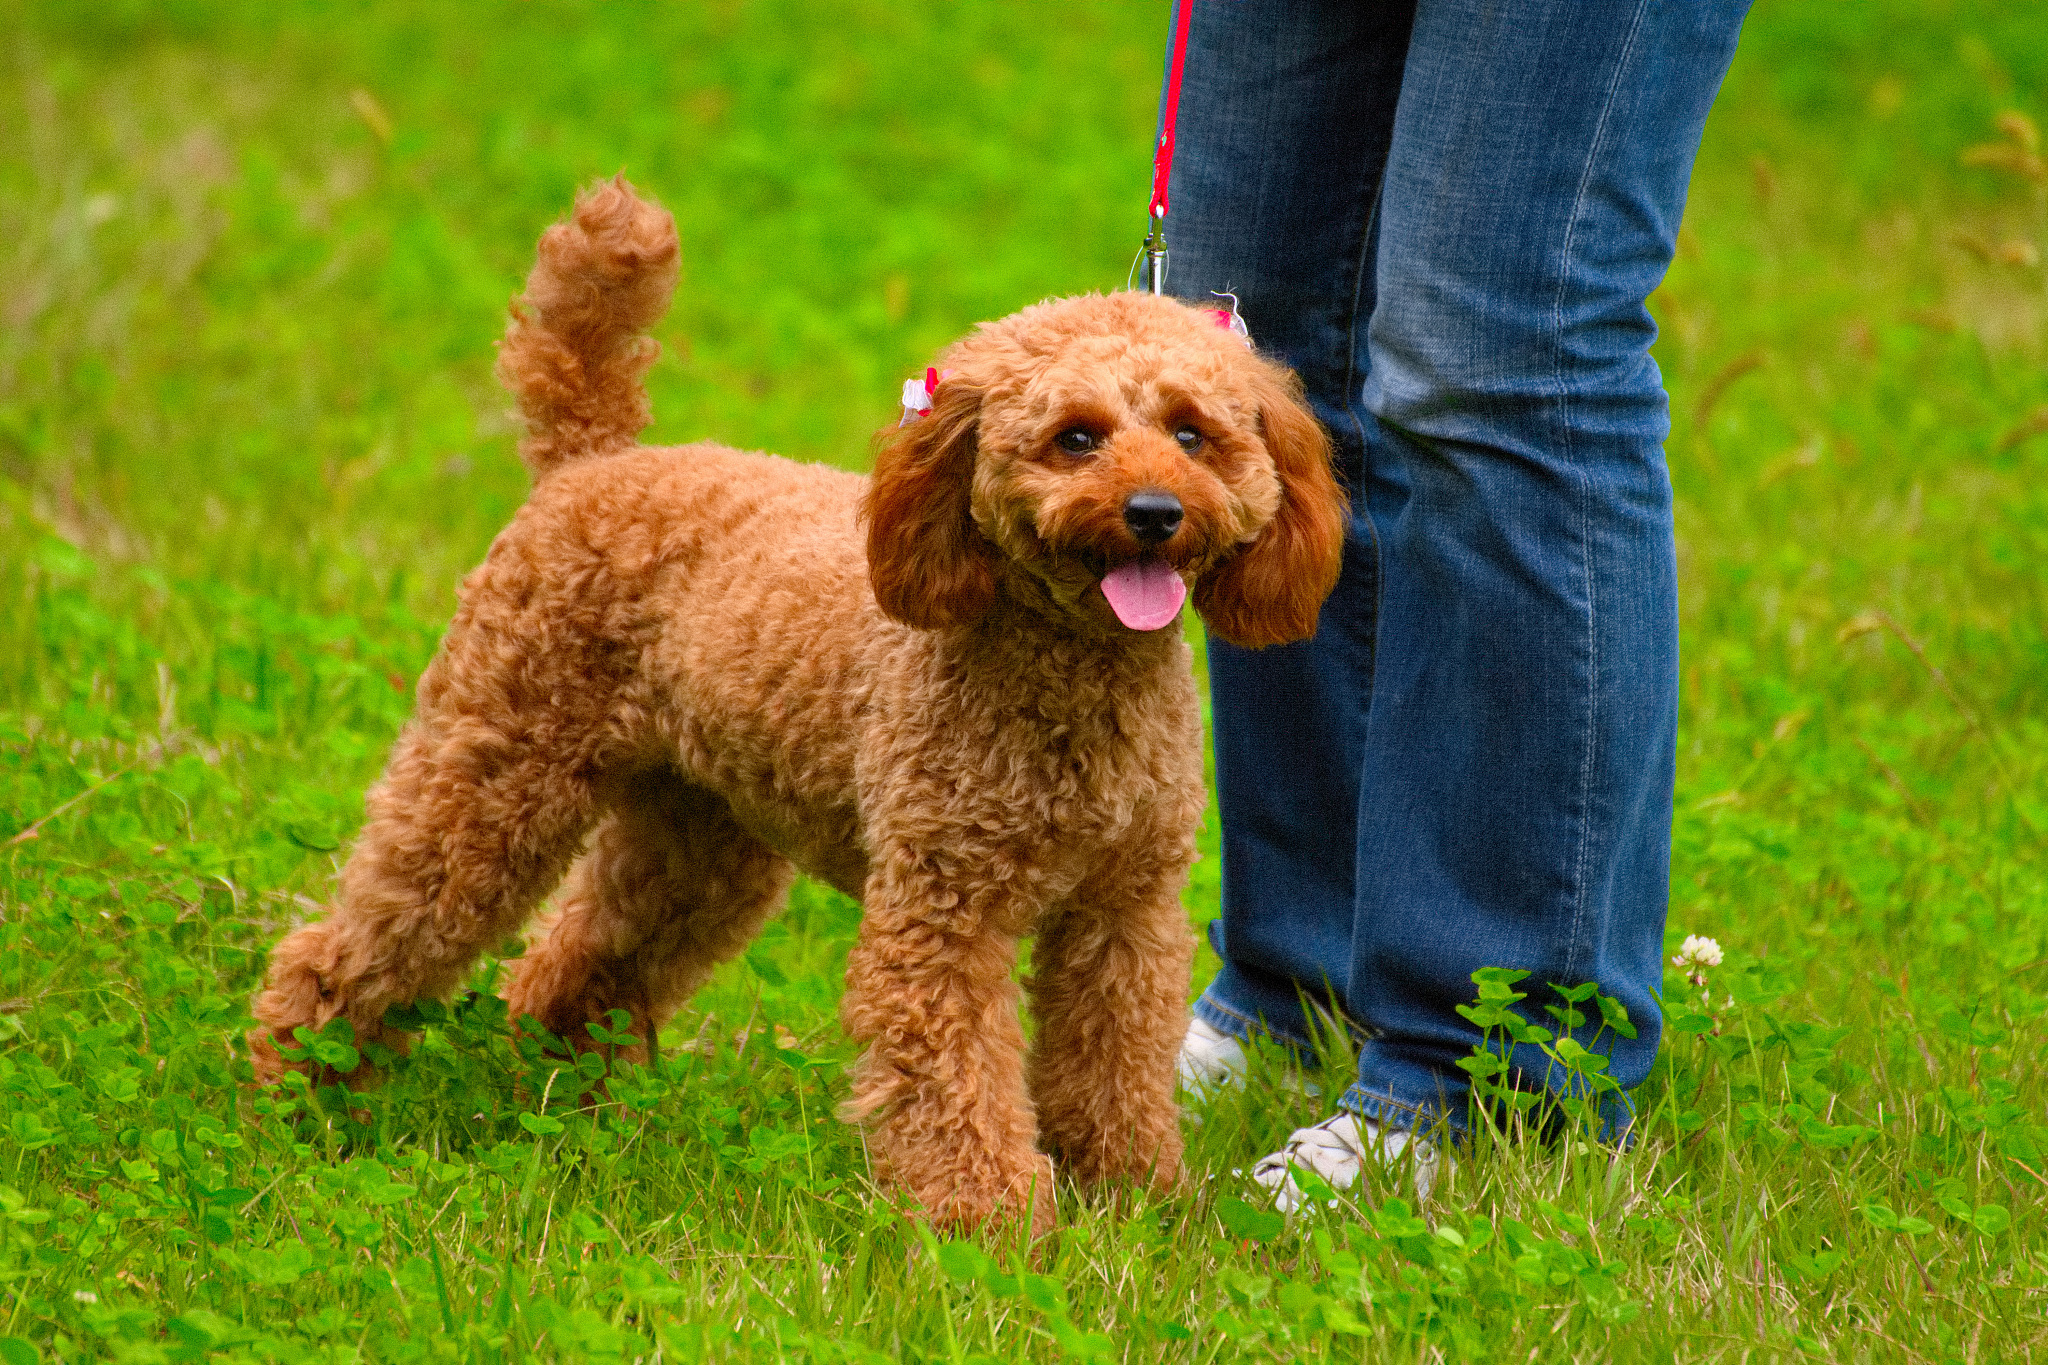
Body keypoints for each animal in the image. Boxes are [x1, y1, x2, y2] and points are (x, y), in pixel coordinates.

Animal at [247, 179, 1343, 1236]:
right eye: (1076, 438)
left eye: (1192, 434)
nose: (1154, 513)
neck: (1071, 673)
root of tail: (595, 459)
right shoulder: (943, 911)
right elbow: (954, 1082)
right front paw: (983, 1228)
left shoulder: (1123, 912)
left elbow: (1112, 1064)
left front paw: (1133, 1198)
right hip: (494, 770)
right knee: (363, 936)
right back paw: (297, 1087)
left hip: (697, 840)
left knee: (576, 964)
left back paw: (571, 1111)